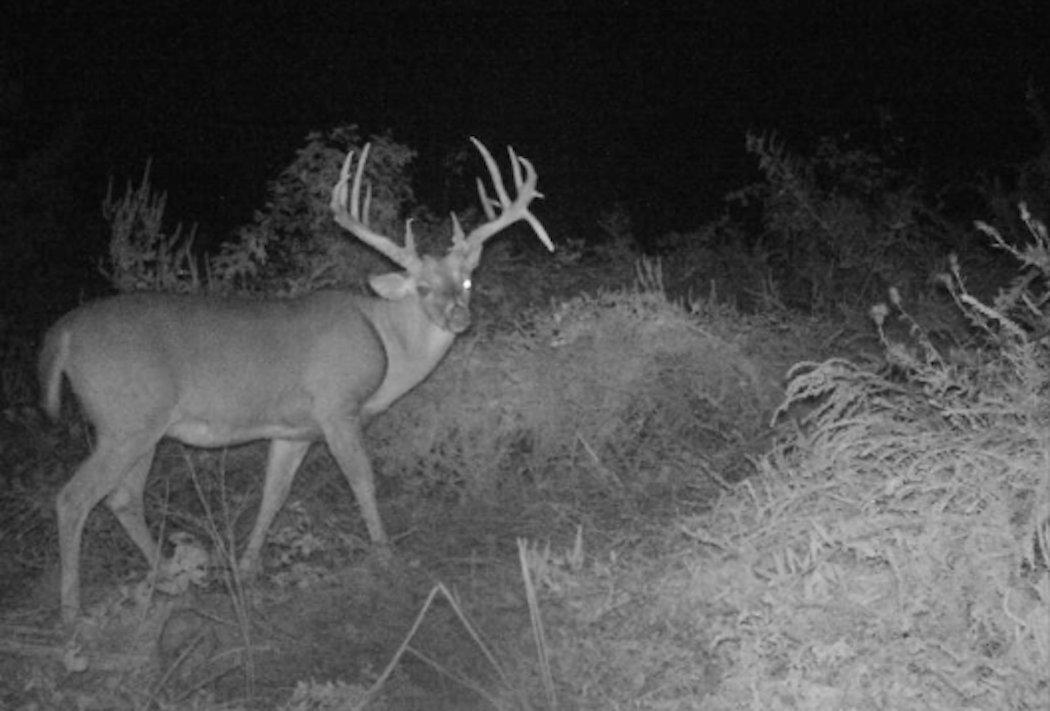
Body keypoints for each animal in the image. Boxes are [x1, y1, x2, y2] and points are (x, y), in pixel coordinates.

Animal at [39, 137, 554, 623]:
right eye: (423, 287)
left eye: (466, 281)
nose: (459, 317)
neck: (386, 343)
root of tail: (63, 333)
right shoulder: (336, 407)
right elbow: (362, 480)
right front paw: (386, 556)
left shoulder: (294, 431)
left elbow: (274, 495)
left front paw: (246, 568)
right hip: (127, 418)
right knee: (74, 498)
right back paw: (71, 613)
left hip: (141, 427)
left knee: (123, 498)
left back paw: (167, 576)